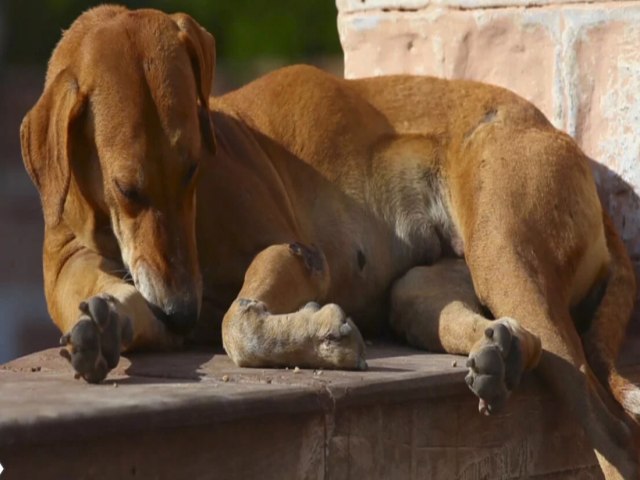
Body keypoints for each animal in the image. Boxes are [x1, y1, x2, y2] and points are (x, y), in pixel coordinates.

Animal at [20, 5, 640, 478]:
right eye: (128, 188)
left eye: (194, 167)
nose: (179, 311)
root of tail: (556, 136)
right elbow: (127, 311)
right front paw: (103, 330)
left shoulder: (298, 255)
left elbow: (237, 324)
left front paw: (323, 337)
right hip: (432, 286)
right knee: (505, 334)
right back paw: (501, 352)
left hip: (504, 252)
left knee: (609, 429)